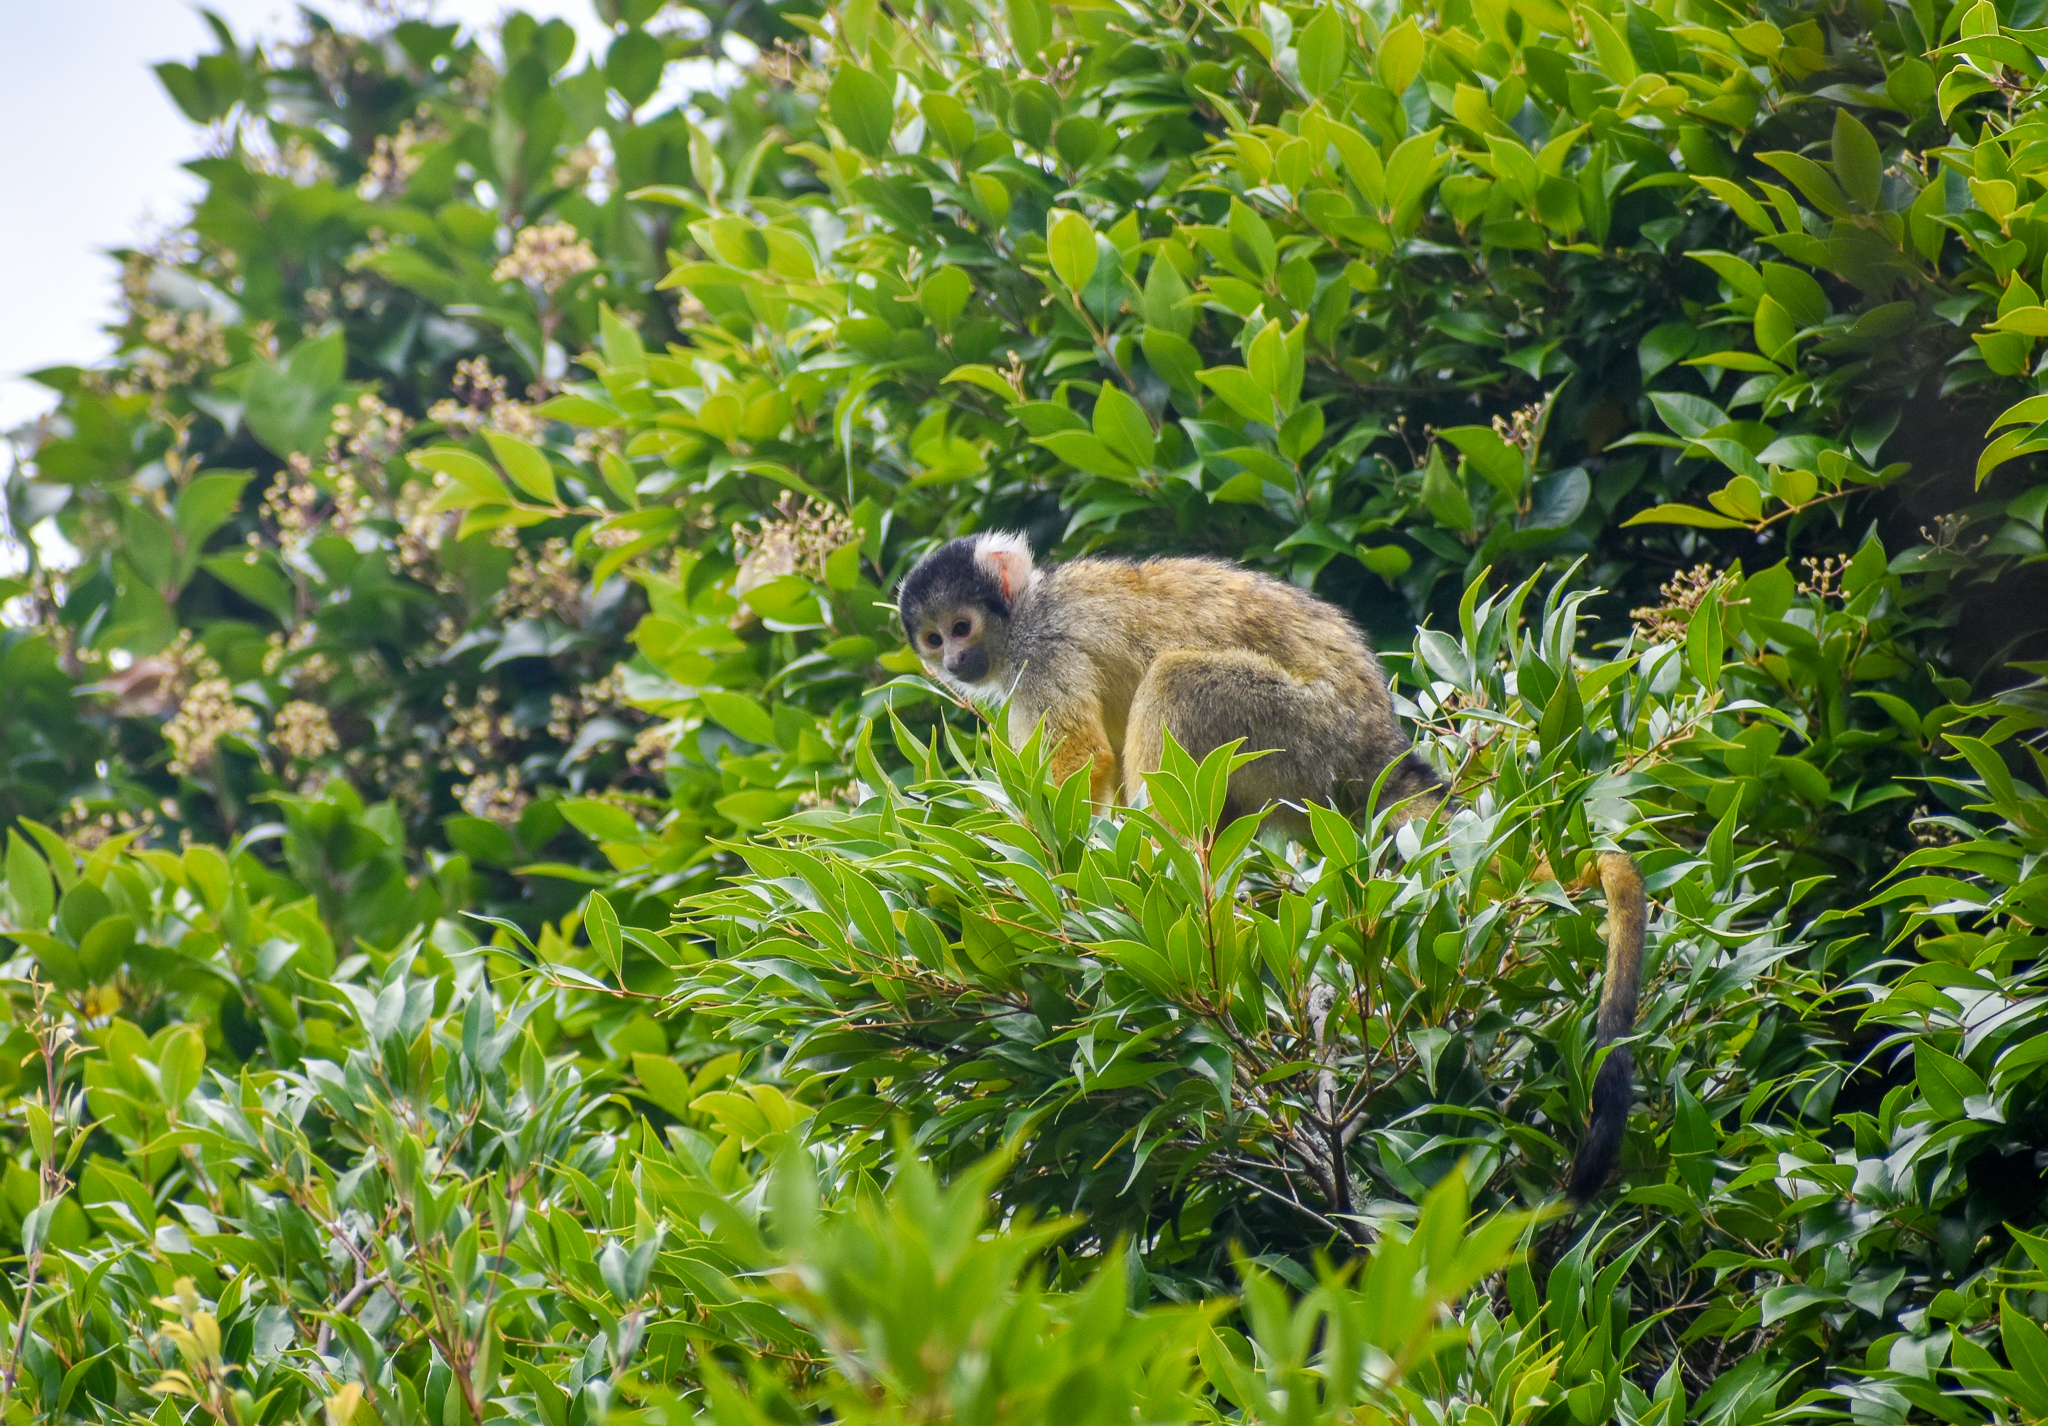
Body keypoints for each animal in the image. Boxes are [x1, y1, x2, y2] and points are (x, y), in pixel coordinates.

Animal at [896, 530, 1645, 1203]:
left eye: (962, 626)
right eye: (933, 639)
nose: (954, 659)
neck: (1025, 611)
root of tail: (1378, 745)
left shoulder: (1046, 649)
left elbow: (1081, 762)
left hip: (1302, 736)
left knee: (1179, 676)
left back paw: (1161, 859)